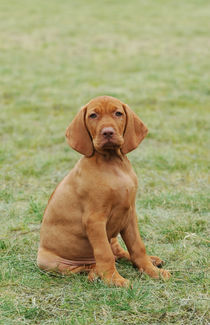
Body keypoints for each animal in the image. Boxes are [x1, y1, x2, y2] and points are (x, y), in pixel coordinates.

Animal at [36, 95, 171, 284]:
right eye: (93, 115)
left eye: (118, 113)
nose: (108, 132)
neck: (113, 165)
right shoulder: (94, 220)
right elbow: (104, 253)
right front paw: (113, 280)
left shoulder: (130, 213)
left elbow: (137, 246)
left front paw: (152, 271)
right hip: (49, 262)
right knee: (85, 266)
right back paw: (94, 273)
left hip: (113, 236)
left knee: (118, 253)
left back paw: (151, 260)